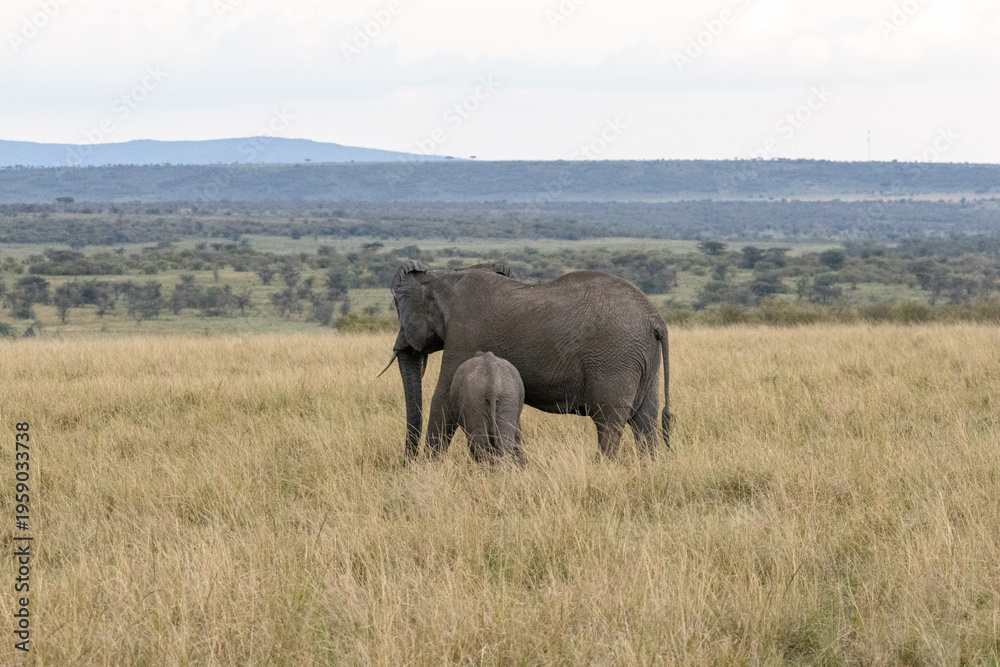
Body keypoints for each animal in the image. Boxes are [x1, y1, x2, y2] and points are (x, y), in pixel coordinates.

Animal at [380, 260, 672, 461]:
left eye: (399, 312)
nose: (406, 461)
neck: (441, 278)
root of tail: (656, 318)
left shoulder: (464, 334)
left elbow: (443, 398)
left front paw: (425, 470)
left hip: (616, 358)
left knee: (609, 422)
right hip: (643, 359)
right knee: (645, 421)